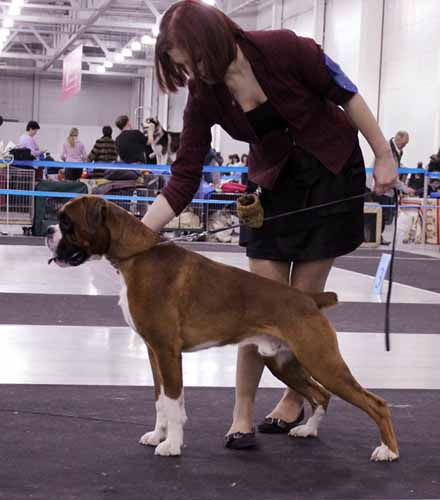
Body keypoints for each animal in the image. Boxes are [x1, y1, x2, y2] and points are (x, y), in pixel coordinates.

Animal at [46, 195, 399, 461]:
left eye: (67, 222)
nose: (48, 230)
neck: (136, 254)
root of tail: (309, 298)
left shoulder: (167, 351)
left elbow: (173, 400)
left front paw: (172, 445)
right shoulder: (153, 352)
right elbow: (161, 399)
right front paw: (158, 435)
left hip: (322, 361)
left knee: (374, 403)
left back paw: (388, 451)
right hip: (284, 362)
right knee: (320, 394)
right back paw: (308, 430)